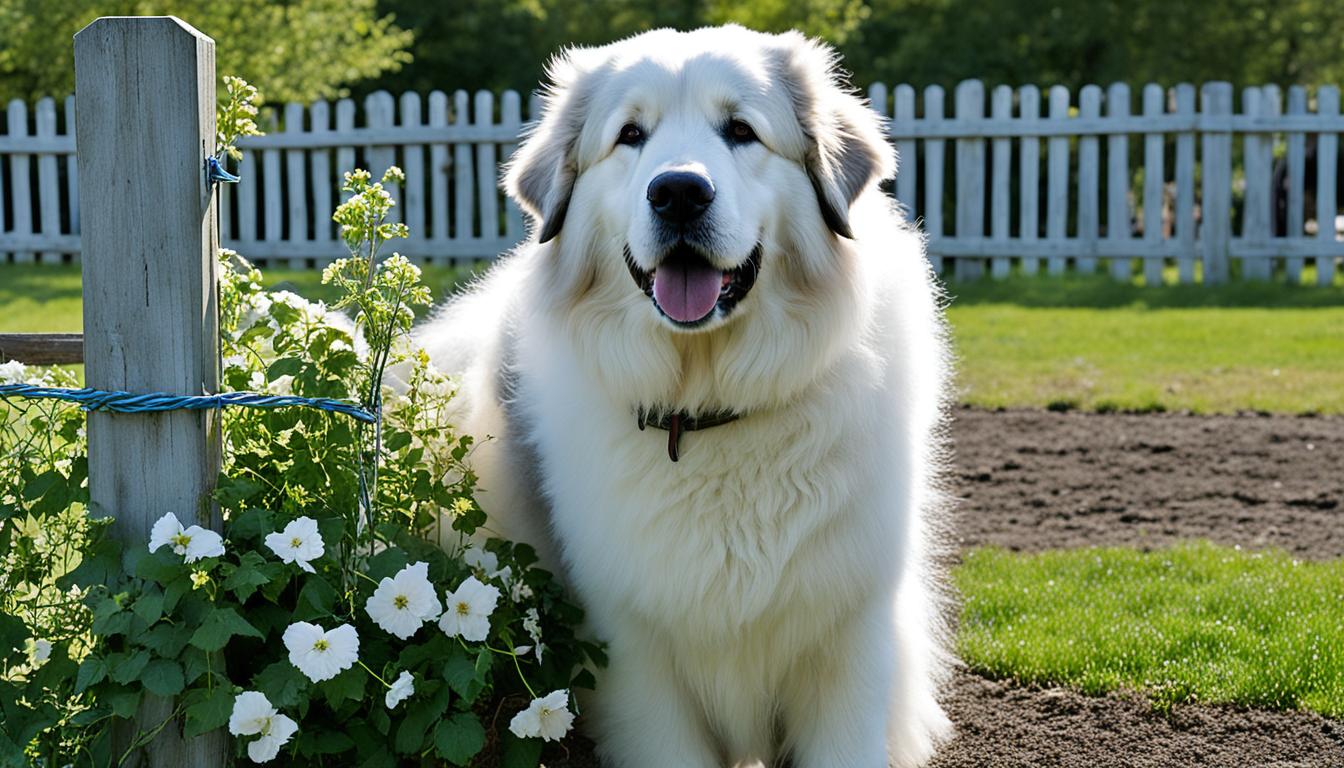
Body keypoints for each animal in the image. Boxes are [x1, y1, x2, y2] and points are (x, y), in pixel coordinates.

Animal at [419, 24, 956, 768]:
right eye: (630, 135)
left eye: (740, 130)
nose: (678, 192)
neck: (705, 409)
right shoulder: (636, 658)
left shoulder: (849, 639)